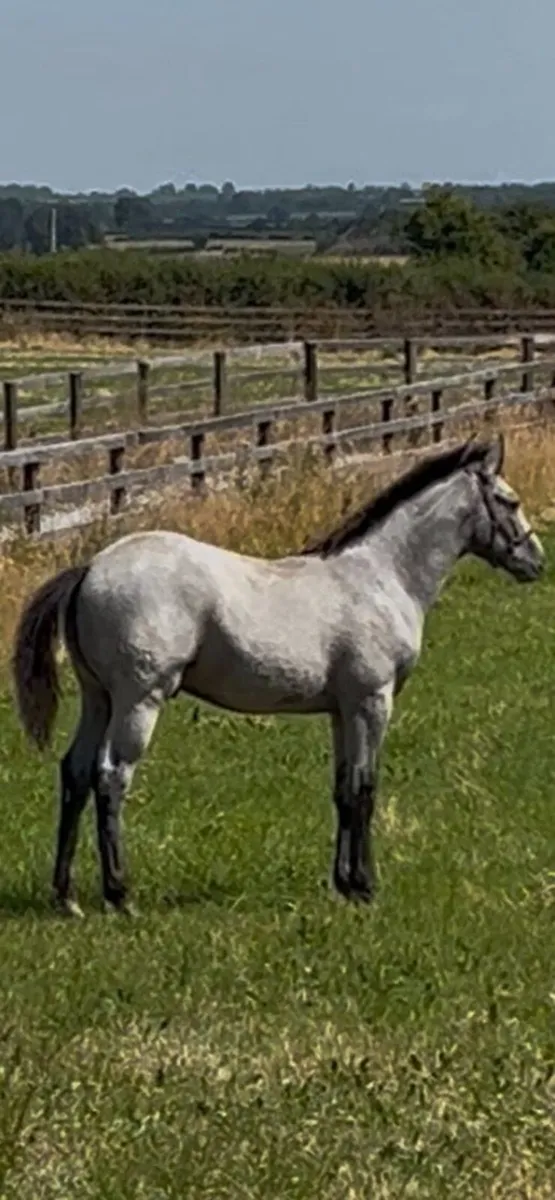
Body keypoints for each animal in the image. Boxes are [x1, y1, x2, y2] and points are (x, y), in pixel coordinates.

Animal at [12, 433, 544, 918]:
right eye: (509, 501)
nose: (535, 560)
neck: (382, 577)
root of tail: (90, 568)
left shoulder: (342, 710)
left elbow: (343, 789)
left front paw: (343, 884)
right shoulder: (373, 702)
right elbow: (366, 789)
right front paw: (365, 887)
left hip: (98, 698)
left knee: (76, 772)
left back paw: (66, 897)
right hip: (139, 701)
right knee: (111, 777)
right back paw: (120, 895)